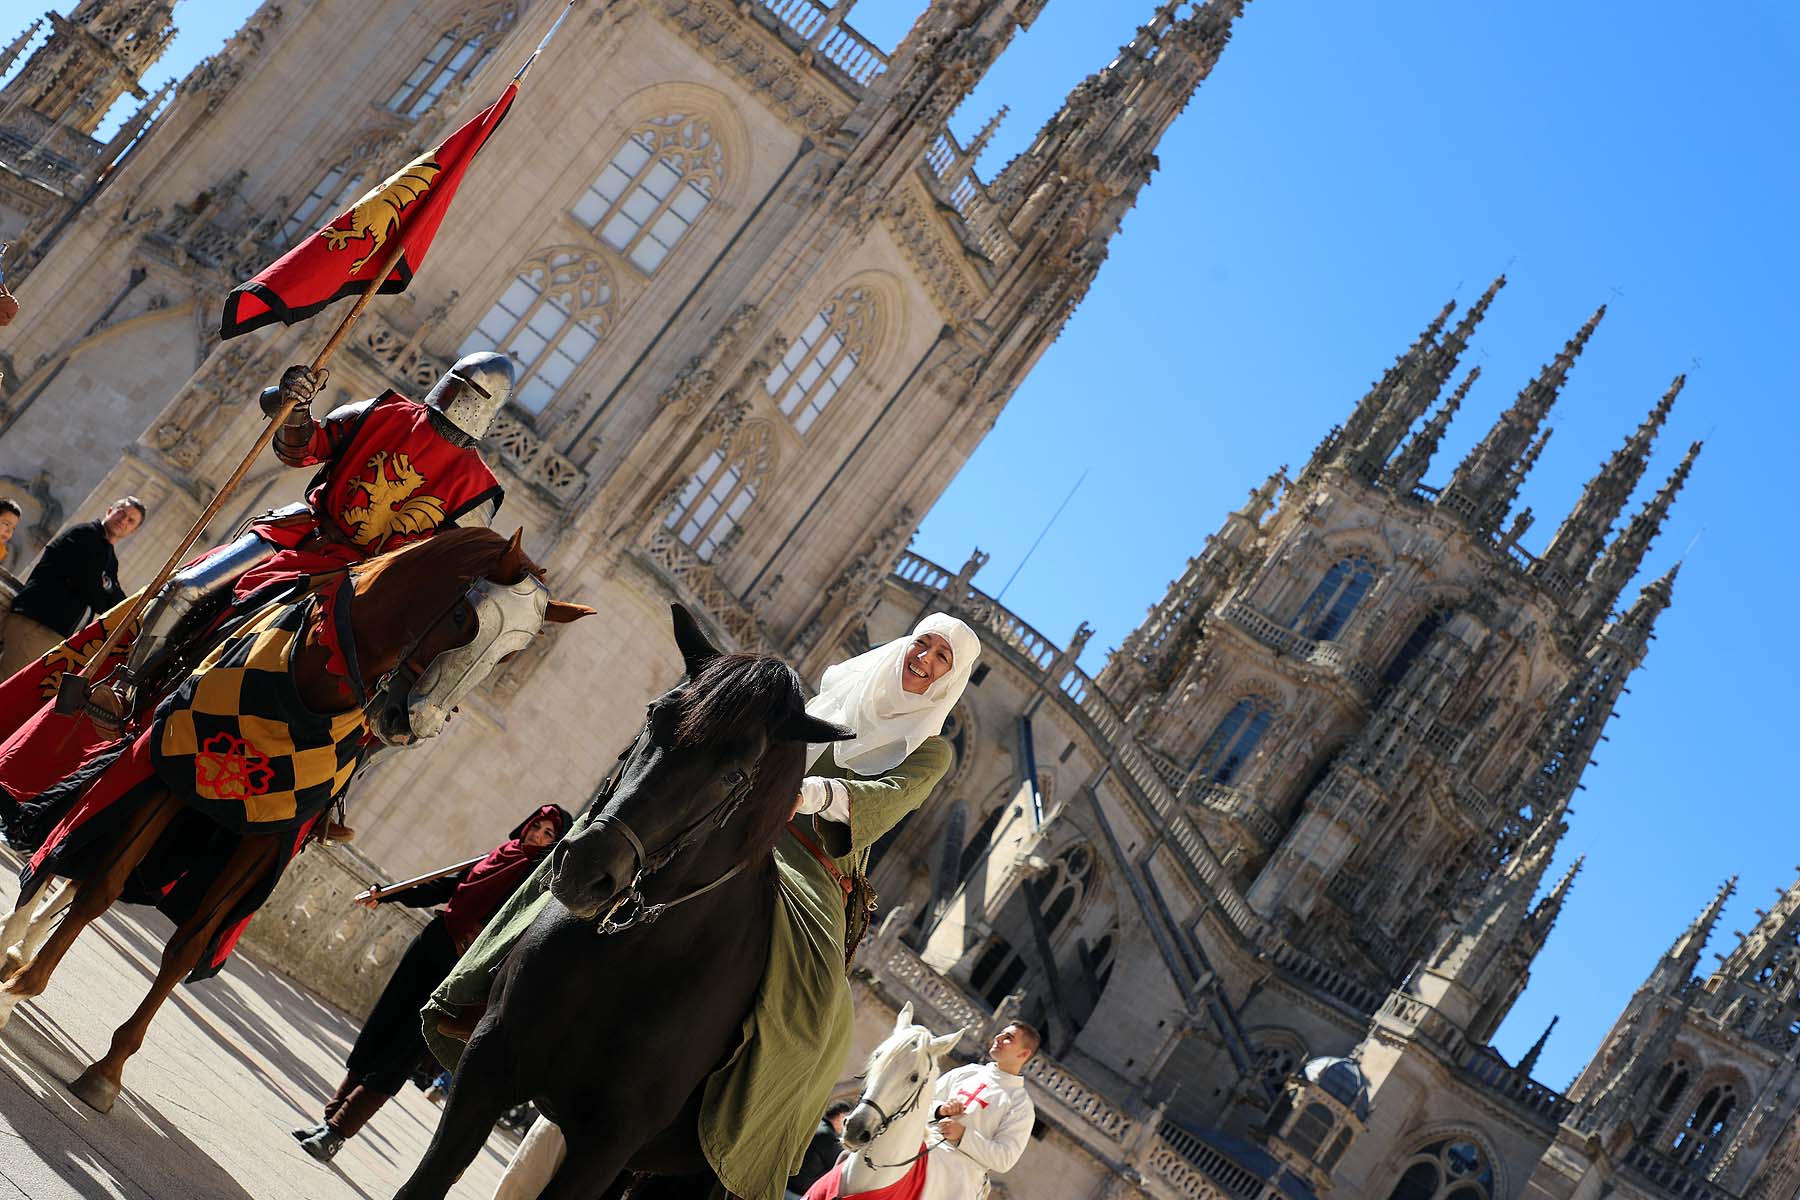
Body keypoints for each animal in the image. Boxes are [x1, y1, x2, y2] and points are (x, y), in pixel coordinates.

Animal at [0, 528, 590, 1115]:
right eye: (466, 618)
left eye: (511, 655)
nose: (409, 725)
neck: (313, 680)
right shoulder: (168, 776)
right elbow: (101, 884)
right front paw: (22, 985)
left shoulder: (265, 835)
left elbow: (188, 943)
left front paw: (109, 1070)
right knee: (62, 850)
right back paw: (13, 947)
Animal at [397, 611, 846, 1200]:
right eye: (656, 713)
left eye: (735, 775)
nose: (586, 869)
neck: (624, 953)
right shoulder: (484, 1068)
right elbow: (425, 1180)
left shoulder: (608, 1144)